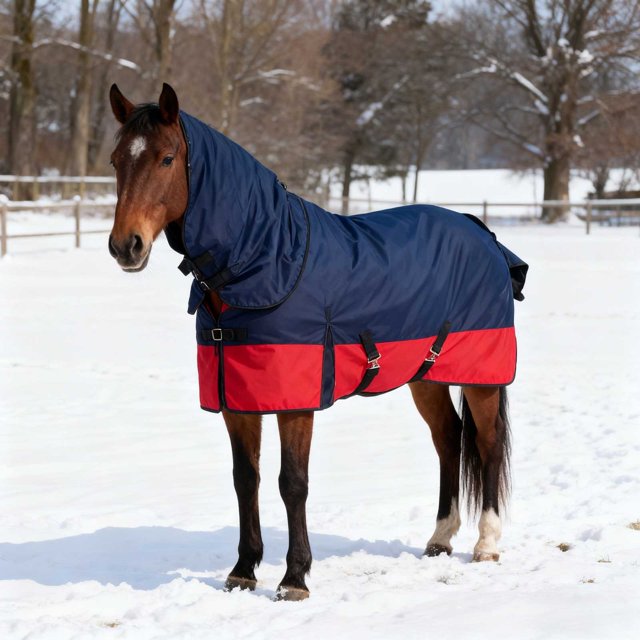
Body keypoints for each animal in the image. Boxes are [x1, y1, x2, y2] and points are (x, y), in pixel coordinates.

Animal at [107, 83, 527, 601]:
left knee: (487, 443)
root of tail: (482, 233)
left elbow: (293, 483)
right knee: (448, 439)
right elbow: (246, 479)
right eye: (115, 160)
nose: (126, 246)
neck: (266, 259)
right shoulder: (237, 401)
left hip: (481, 377)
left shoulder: (296, 403)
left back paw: (486, 544)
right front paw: (243, 570)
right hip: (425, 376)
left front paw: (294, 578)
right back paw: (440, 538)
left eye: (167, 158)